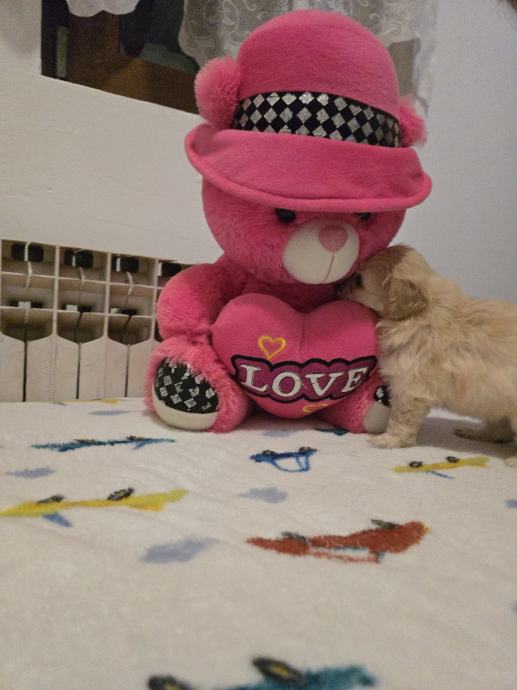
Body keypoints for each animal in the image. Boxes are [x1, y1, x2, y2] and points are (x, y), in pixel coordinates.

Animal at [339, 245, 517, 467]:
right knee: (500, 430)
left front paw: (388, 440)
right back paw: (473, 432)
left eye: (359, 281)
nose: (338, 286)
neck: (423, 311)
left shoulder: (409, 388)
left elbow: (399, 418)